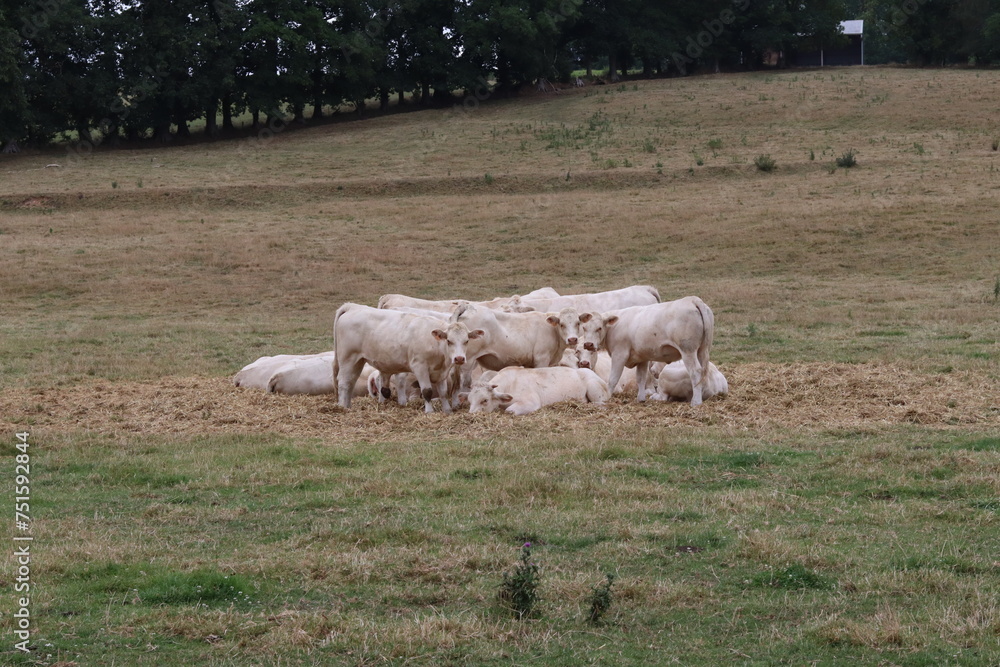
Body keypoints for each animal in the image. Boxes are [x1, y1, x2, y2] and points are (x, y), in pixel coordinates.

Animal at [333, 303, 484, 413]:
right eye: (449, 341)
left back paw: (348, 405)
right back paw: (342, 407)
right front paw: (429, 411)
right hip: (348, 358)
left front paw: (447, 410)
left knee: (350, 382)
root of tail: (352, 307)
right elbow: (427, 391)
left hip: (358, 361)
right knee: (344, 383)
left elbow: (443, 392)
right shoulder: (420, 367)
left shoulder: (441, 372)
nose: (459, 358)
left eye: (466, 341)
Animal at [467, 366, 611, 415]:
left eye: (485, 400)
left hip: (594, 388)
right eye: (469, 400)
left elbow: (509, 411)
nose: (471, 414)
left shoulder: (531, 402)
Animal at [575, 296, 715, 405]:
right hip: (702, 350)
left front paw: (607, 395)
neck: (614, 327)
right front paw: (641, 398)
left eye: (599, 328)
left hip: (688, 351)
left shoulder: (619, 354)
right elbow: (641, 378)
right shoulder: (642, 358)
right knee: (703, 371)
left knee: (695, 372)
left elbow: (613, 379)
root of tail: (692, 300)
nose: (588, 344)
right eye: (585, 328)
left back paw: (696, 402)